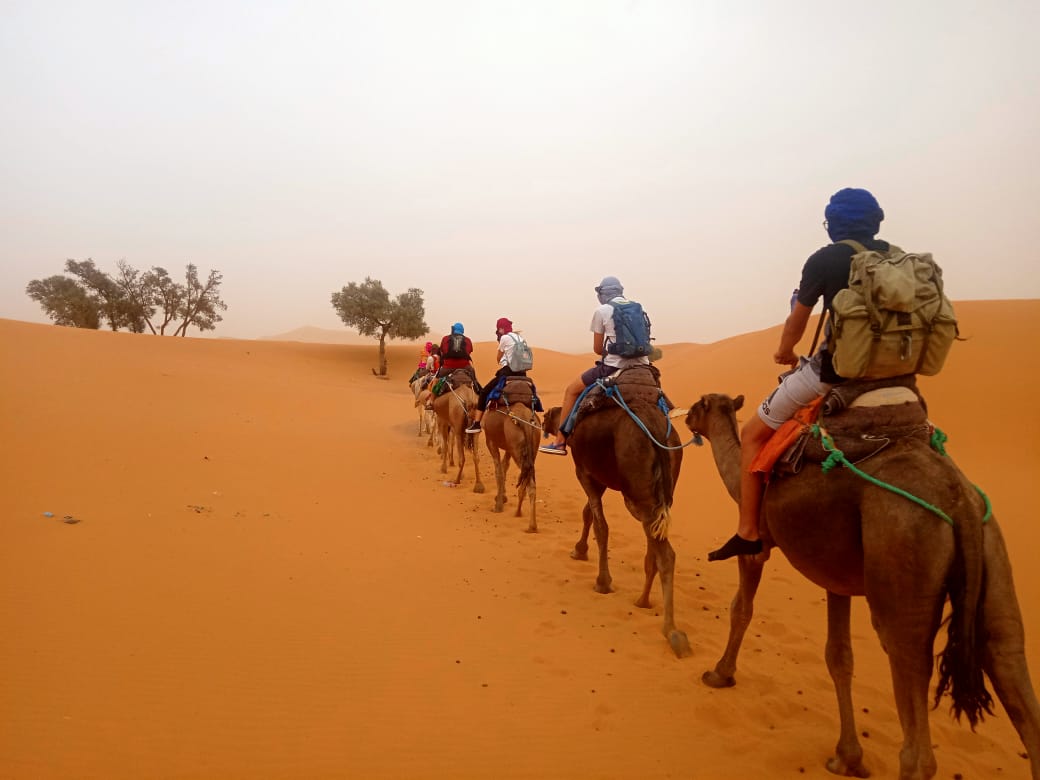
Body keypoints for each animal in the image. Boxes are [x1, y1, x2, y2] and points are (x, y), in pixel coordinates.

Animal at [480, 376, 540, 532]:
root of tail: (526, 421)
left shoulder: (491, 442)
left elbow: (498, 471)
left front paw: (498, 505)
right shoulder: (508, 448)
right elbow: (504, 466)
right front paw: (502, 497)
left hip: (517, 450)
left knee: (526, 480)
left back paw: (527, 521)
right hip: (529, 449)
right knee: (528, 479)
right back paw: (526, 519)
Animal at [544, 374, 690, 661]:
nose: (544, 422)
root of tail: (655, 427)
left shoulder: (584, 472)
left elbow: (601, 526)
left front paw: (602, 581)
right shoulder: (597, 477)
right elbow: (588, 513)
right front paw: (579, 550)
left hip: (637, 488)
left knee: (665, 552)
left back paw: (672, 630)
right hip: (660, 489)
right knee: (655, 539)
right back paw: (643, 600)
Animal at [682, 397, 1040, 780]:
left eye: (700, 405)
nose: (686, 418)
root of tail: (959, 503)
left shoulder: (757, 546)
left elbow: (742, 609)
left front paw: (719, 673)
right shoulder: (833, 573)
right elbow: (839, 656)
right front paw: (848, 757)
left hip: (902, 551)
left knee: (910, 686)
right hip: (992, 552)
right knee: (1006, 656)